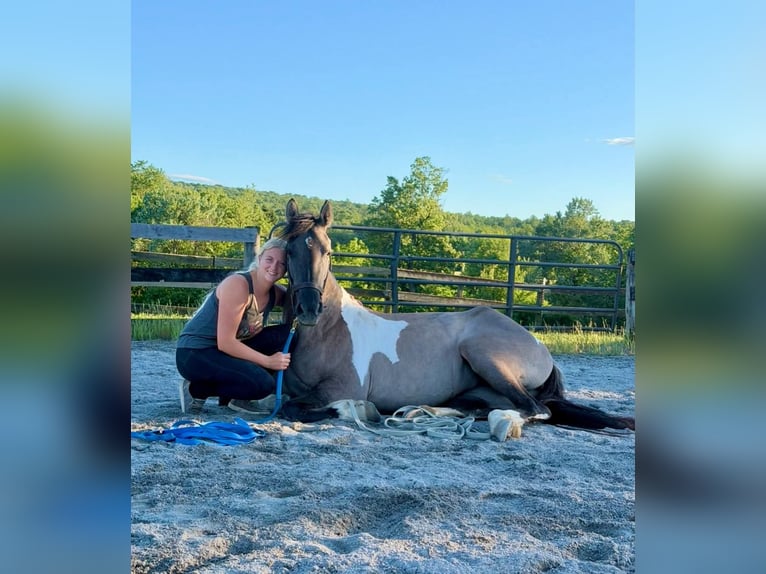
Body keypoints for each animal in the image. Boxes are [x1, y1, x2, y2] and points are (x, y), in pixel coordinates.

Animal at [277, 199, 635, 438]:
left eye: (328, 251)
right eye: (289, 251)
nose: (309, 310)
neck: (330, 332)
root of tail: (538, 344)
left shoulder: (343, 387)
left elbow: (292, 407)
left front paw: (358, 410)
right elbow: (282, 402)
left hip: (484, 355)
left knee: (535, 410)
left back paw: (500, 423)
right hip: (479, 388)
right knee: (480, 408)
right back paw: (417, 412)